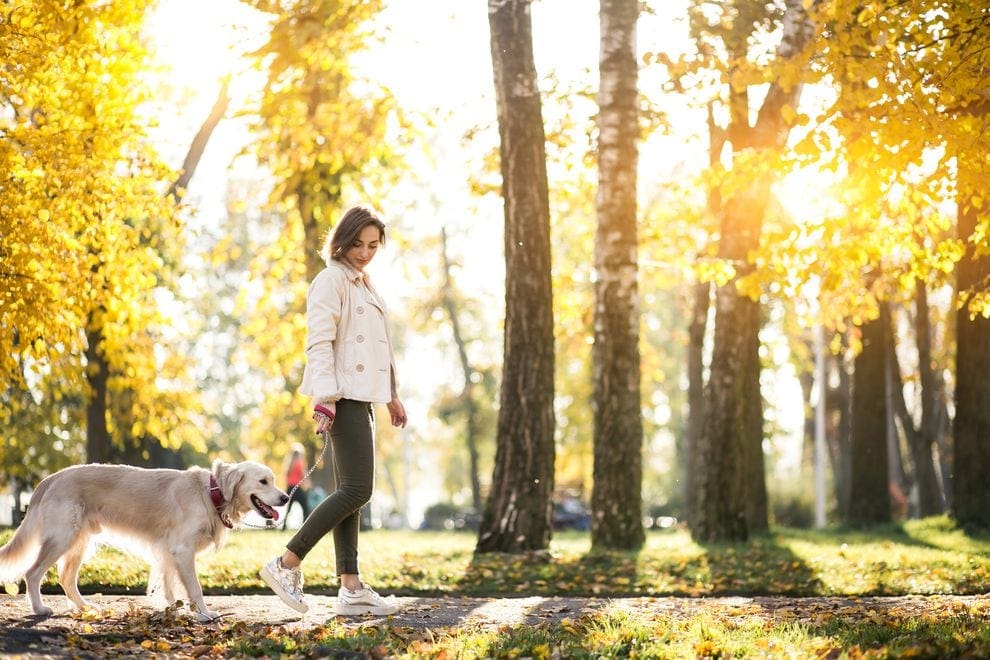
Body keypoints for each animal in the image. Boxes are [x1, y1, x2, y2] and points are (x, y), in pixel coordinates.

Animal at [0, 462, 288, 620]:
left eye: (273, 480)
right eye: (263, 481)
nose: (285, 497)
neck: (210, 493)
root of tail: (51, 478)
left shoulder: (168, 551)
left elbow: (170, 586)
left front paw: (175, 611)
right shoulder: (182, 550)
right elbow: (194, 588)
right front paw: (203, 614)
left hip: (79, 542)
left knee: (66, 579)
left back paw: (84, 607)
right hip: (62, 538)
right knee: (32, 573)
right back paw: (39, 608)